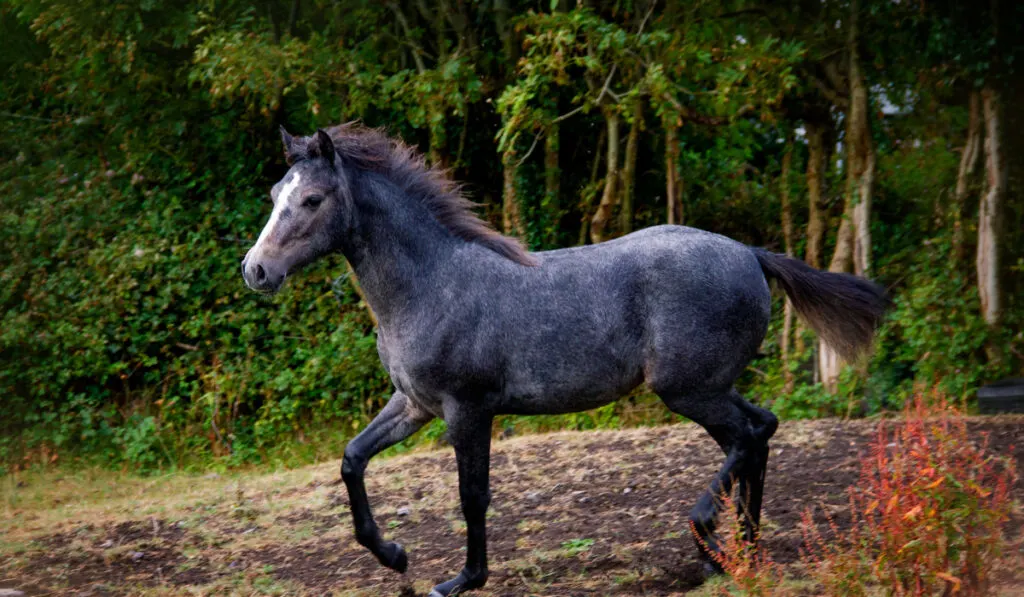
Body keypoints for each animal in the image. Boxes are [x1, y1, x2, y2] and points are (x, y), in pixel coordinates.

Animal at [241, 123, 888, 593]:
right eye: (274, 196)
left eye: (313, 199)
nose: (256, 270)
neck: (429, 285)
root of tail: (751, 255)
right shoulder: (413, 404)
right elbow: (352, 460)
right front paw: (395, 556)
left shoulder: (467, 409)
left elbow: (472, 495)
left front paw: (462, 580)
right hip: (711, 386)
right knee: (762, 429)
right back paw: (742, 553)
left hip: (689, 389)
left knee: (749, 437)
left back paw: (709, 536)